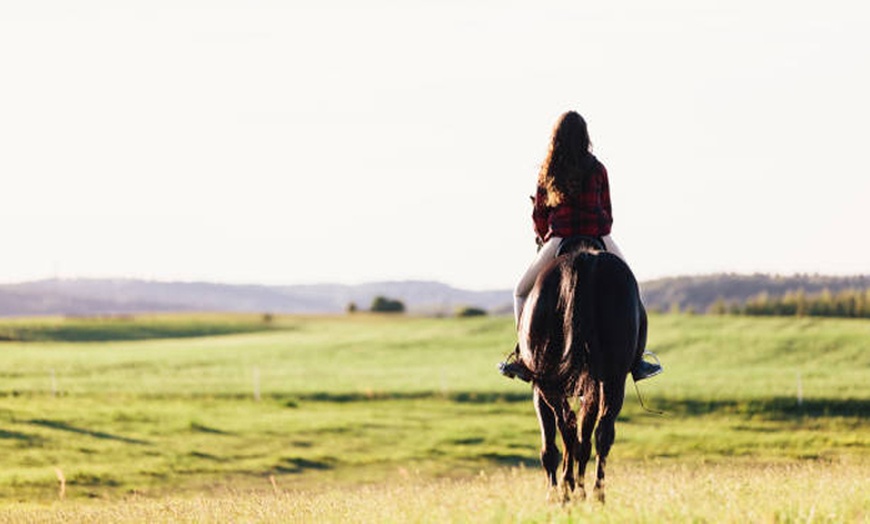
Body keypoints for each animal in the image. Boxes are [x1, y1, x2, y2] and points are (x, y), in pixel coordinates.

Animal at [516, 238, 648, 504]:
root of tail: (585, 260)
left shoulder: (538, 389)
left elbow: (552, 445)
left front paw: (555, 493)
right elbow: (583, 437)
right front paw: (578, 488)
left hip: (550, 382)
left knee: (568, 428)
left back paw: (569, 491)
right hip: (613, 379)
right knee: (602, 431)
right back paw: (595, 494)